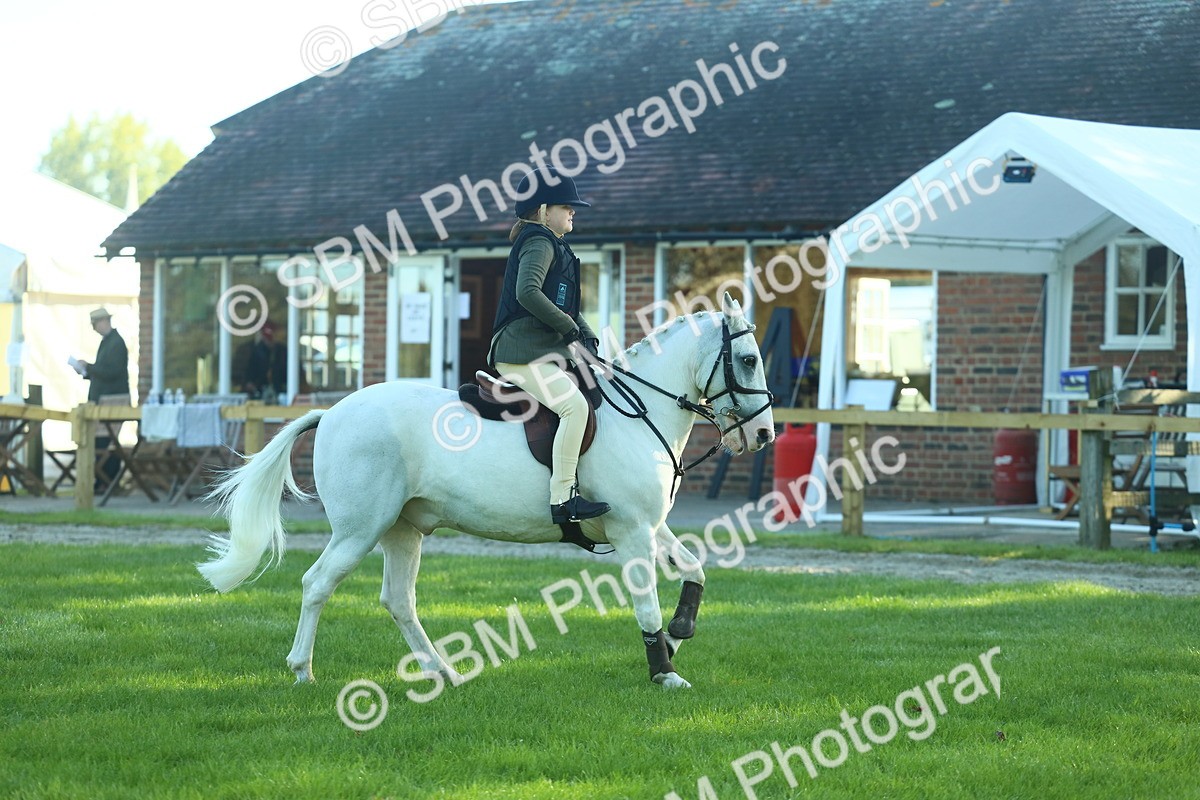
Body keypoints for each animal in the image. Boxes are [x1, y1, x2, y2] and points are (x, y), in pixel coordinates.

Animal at [197, 292, 776, 690]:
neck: (641, 410)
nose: (765, 435)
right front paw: (664, 672)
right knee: (317, 584)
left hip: (402, 530)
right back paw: (303, 670)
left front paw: (680, 632)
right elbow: (646, 606)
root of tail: (333, 411)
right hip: (360, 529)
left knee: (398, 599)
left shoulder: (648, 526)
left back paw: (442, 672)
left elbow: (695, 569)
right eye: (748, 359)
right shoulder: (632, 531)